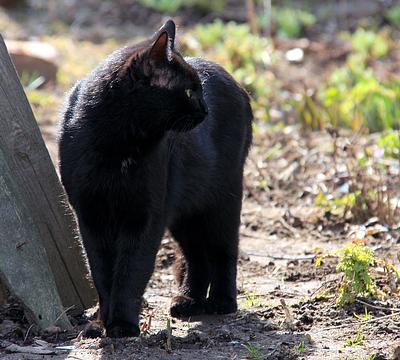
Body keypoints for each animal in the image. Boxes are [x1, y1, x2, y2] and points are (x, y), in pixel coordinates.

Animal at [57, 19, 252, 338]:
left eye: (199, 91)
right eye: (189, 92)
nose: (205, 109)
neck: (117, 144)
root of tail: (237, 83)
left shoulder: (146, 215)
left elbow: (131, 270)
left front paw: (122, 324)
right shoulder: (90, 215)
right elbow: (100, 271)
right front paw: (101, 323)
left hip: (223, 196)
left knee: (223, 248)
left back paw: (222, 302)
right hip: (186, 211)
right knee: (196, 255)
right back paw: (188, 301)